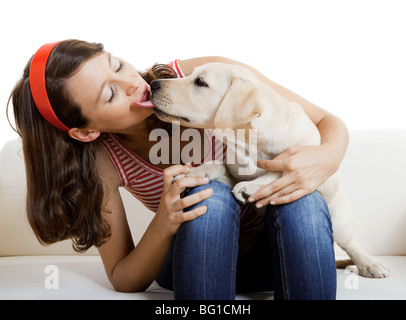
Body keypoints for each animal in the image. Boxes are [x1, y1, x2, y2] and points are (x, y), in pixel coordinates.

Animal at [151, 62, 388, 278]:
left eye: (200, 82)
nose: (153, 84)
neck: (249, 141)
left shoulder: (309, 157)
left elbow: (283, 169)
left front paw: (250, 186)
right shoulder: (233, 169)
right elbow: (216, 163)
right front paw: (190, 173)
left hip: (340, 219)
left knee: (350, 242)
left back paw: (369, 264)